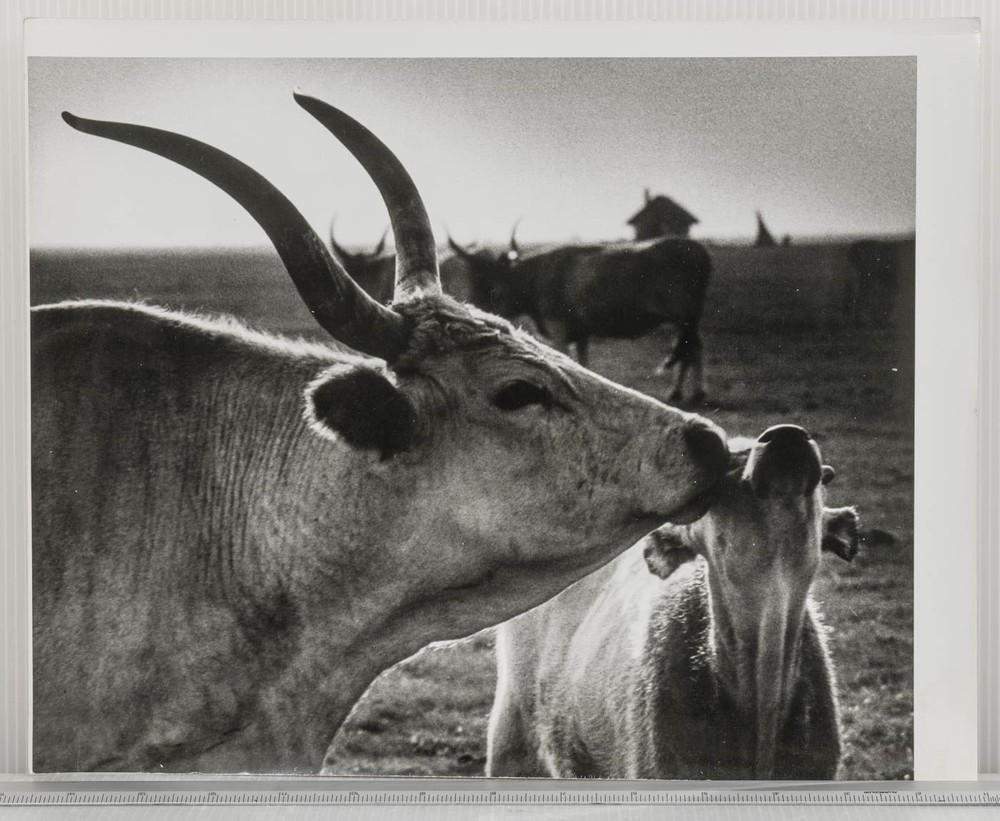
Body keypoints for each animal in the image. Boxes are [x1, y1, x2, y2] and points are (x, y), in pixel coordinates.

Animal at [446, 236, 713, 404]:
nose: (479, 306)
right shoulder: (581, 331)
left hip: (683, 315)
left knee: (691, 348)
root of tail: (695, 248)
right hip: (689, 317)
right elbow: (582, 363)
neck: (537, 275)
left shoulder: (559, 328)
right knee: (691, 347)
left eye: (494, 288)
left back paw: (689, 392)